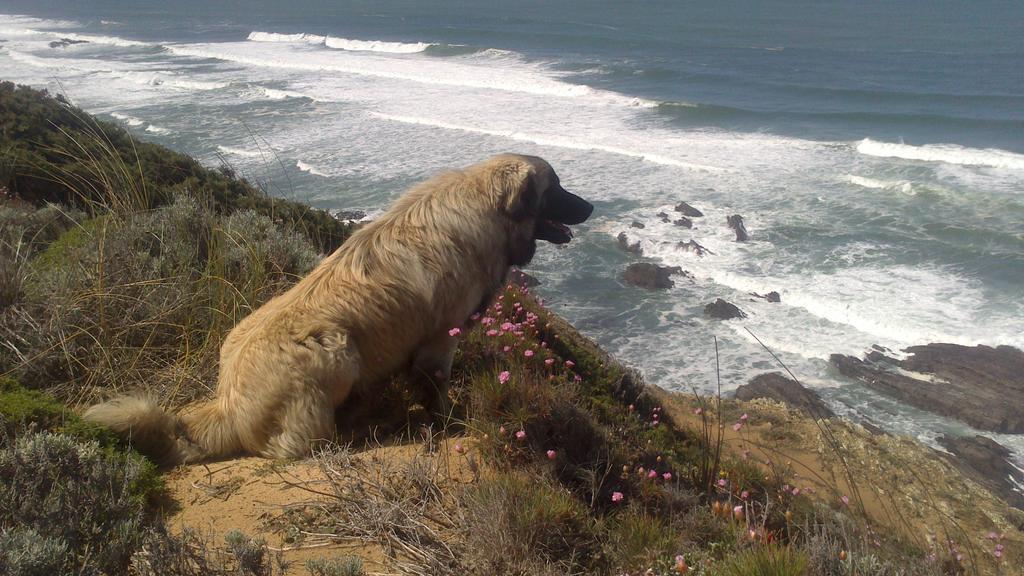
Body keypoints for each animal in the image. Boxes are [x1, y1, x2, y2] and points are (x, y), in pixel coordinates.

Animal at [84, 154, 598, 463]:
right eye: (556, 187)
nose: (592, 207)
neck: (487, 214)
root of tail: (229, 403)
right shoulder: (440, 338)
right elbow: (436, 388)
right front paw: (450, 422)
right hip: (336, 349)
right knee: (297, 446)